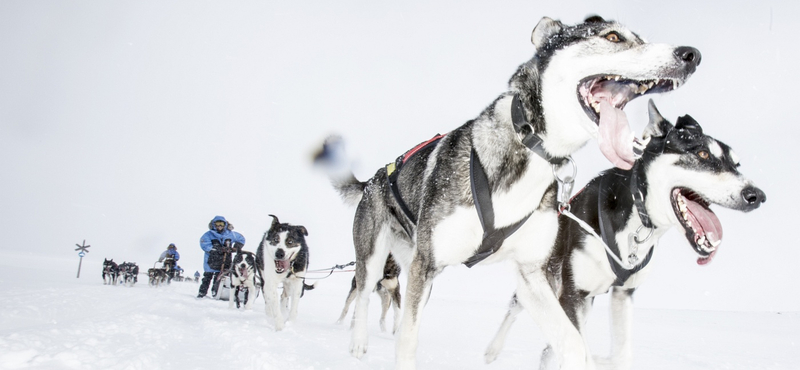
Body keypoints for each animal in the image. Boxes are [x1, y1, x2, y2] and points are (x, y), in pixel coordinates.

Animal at [318, 15, 700, 368]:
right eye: (613, 37)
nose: (691, 55)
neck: (532, 146)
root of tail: (373, 179)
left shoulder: (531, 275)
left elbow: (572, 343)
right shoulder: (426, 264)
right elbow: (407, 341)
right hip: (376, 257)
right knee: (364, 293)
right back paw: (358, 342)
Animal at [484, 99, 764, 368]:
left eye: (737, 164)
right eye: (703, 154)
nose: (757, 196)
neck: (636, 218)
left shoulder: (622, 293)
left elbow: (619, 356)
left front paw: (603, 359)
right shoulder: (573, 295)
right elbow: (581, 353)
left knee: (549, 348)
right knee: (515, 307)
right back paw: (491, 350)